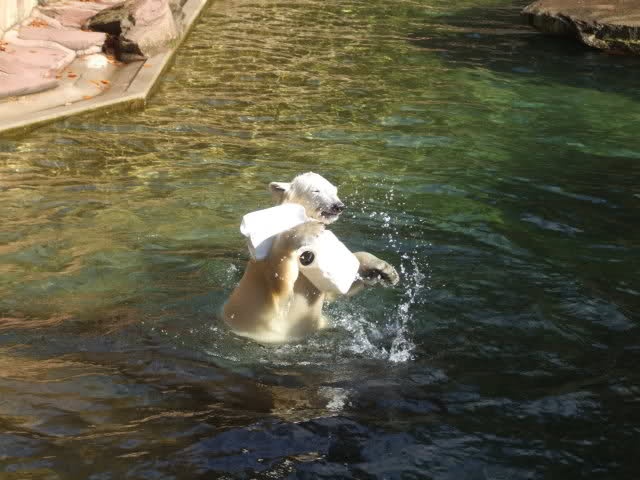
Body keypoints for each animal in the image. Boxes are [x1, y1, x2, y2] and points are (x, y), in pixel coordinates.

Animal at [223, 172, 399, 343]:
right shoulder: (263, 281)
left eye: (334, 191)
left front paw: (383, 270)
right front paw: (307, 228)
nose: (338, 206)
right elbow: (279, 287)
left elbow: (333, 292)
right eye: (316, 190)